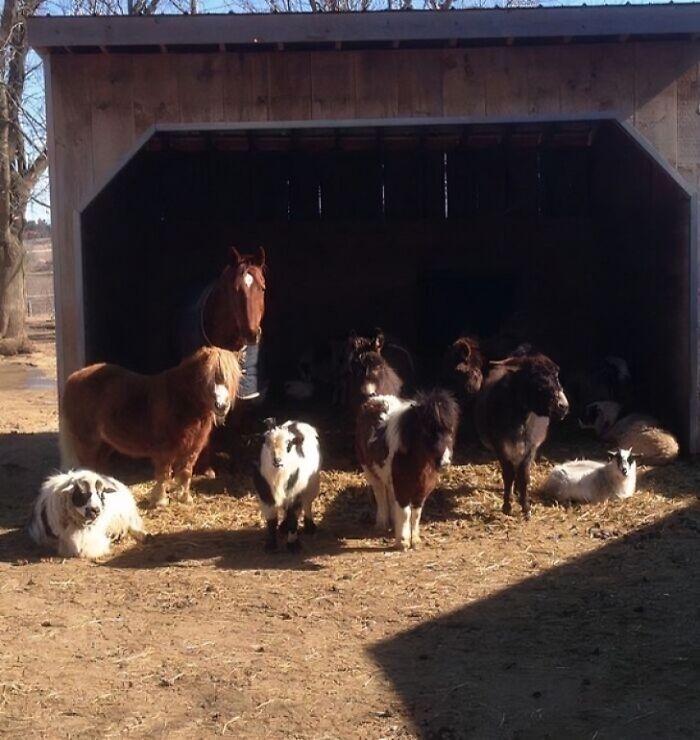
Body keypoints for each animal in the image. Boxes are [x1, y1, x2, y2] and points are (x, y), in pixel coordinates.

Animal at [60, 347, 241, 508]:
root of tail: (73, 377)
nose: (221, 406)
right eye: (206, 378)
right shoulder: (165, 452)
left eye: (230, 379)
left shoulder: (192, 450)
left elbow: (186, 473)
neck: (180, 401)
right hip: (86, 441)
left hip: (105, 444)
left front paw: (185, 498)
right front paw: (160, 501)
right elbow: (164, 475)